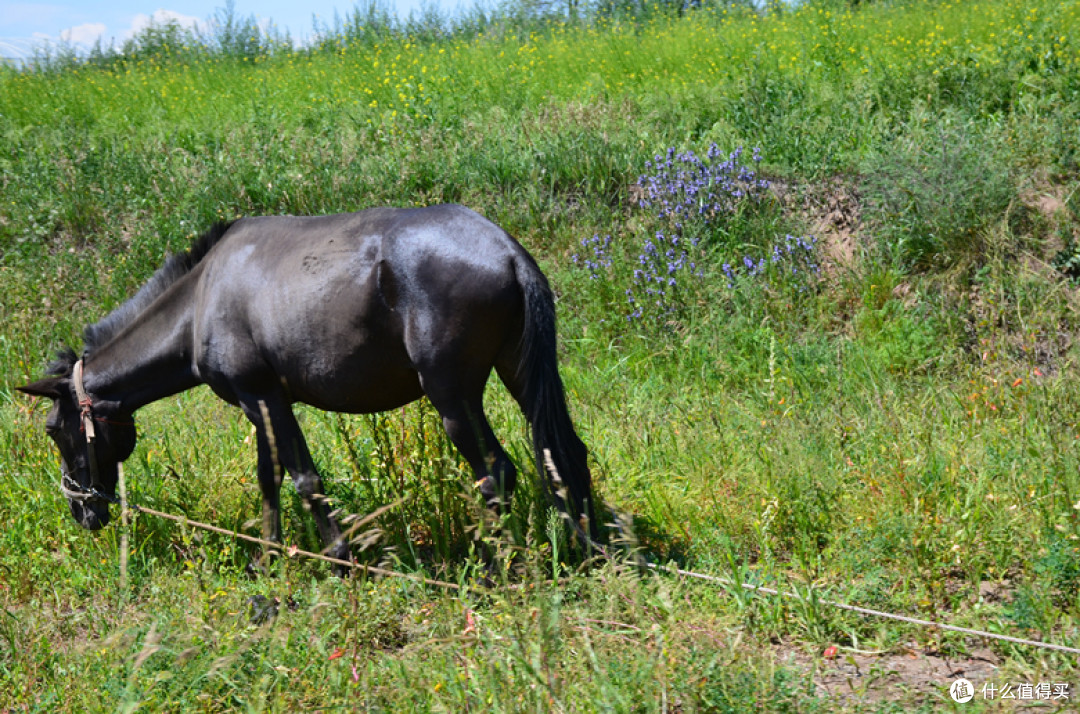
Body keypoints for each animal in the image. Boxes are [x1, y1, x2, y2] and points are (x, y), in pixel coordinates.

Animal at [19, 204, 600, 561]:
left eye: (52, 430)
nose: (80, 509)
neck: (199, 299)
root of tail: (507, 250)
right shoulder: (259, 403)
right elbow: (269, 477)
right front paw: (269, 556)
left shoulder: (263, 398)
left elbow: (302, 478)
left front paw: (337, 555)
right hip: (520, 374)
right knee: (566, 454)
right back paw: (592, 544)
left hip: (454, 400)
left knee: (496, 472)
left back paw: (497, 560)